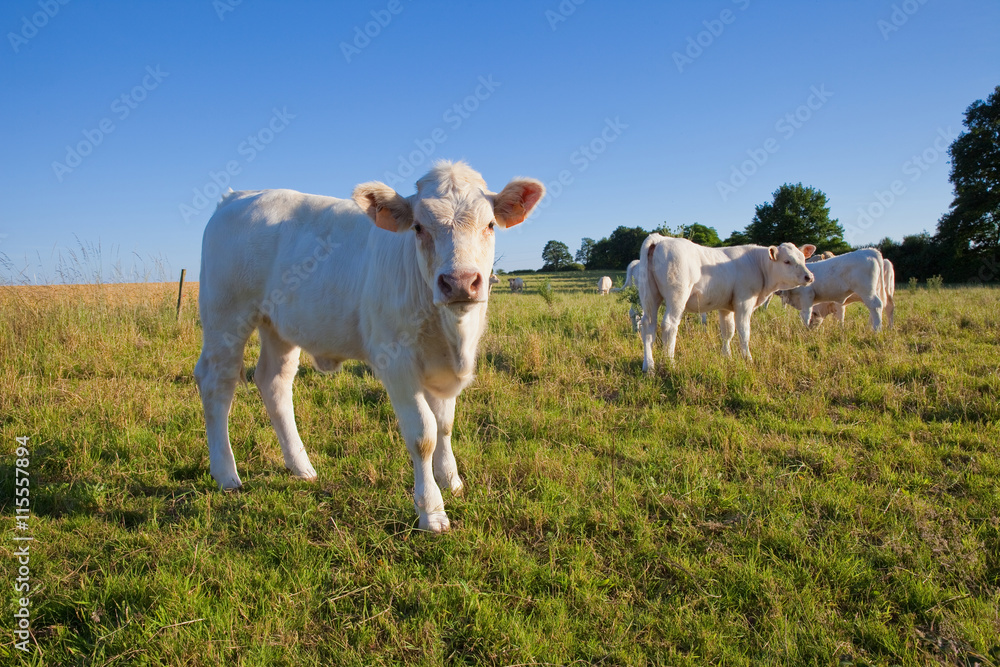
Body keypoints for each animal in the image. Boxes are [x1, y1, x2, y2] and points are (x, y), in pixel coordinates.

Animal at [194, 161, 544, 533]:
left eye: (489, 224)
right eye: (418, 227)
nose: (460, 282)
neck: (453, 335)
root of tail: (238, 196)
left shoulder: (442, 367)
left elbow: (445, 425)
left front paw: (450, 479)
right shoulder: (397, 363)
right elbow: (423, 434)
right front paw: (432, 510)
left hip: (278, 327)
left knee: (274, 382)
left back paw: (301, 467)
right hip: (225, 317)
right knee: (217, 383)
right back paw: (226, 474)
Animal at [638, 234, 815, 372]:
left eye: (802, 258)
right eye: (787, 261)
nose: (809, 276)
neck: (758, 265)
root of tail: (661, 239)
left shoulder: (725, 307)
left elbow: (727, 331)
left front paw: (727, 356)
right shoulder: (744, 302)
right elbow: (744, 332)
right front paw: (748, 359)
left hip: (649, 296)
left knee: (648, 326)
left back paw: (649, 367)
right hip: (677, 295)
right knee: (669, 325)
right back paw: (670, 363)